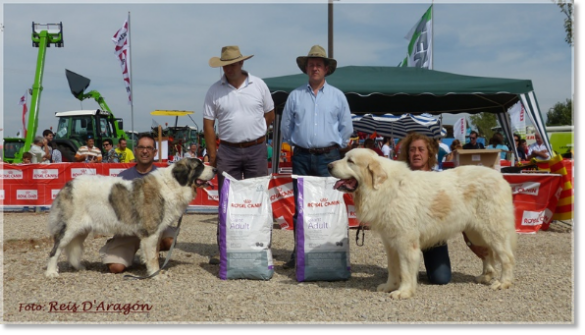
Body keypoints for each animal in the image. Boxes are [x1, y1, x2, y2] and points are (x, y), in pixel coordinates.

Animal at [44, 159, 216, 280]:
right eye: (199, 166)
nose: (215, 169)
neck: (172, 184)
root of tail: (68, 184)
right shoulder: (151, 233)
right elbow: (152, 257)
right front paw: (156, 275)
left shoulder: (157, 233)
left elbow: (154, 253)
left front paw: (157, 271)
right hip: (70, 228)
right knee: (55, 250)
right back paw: (51, 272)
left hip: (81, 229)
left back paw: (78, 266)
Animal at [328, 149, 516, 300]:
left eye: (350, 161)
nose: (329, 166)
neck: (385, 188)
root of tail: (501, 178)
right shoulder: (390, 242)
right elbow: (393, 268)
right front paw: (390, 286)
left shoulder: (405, 242)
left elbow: (405, 269)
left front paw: (403, 292)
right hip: (475, 234)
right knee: (487, 253)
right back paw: (486, 277)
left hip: (493, 231)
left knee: (506, 257)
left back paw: (503, 282)